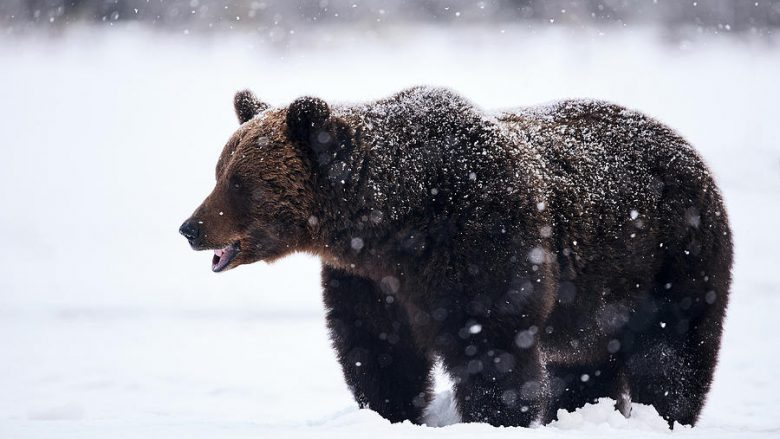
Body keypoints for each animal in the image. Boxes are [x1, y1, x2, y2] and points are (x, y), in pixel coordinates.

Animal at [178, 87, 732, 430]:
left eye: (239, 182)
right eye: (219, 170)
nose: (190, 228)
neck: (392, 226)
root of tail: (690, 150)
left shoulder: (484, 246)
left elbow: (492, 347)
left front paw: (494, 416)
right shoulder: (371, 282)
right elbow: (377, 350)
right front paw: (392, 412)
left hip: (671, 260)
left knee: (672, 355)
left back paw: (665, 416)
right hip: (596, 298)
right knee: (584, 361)